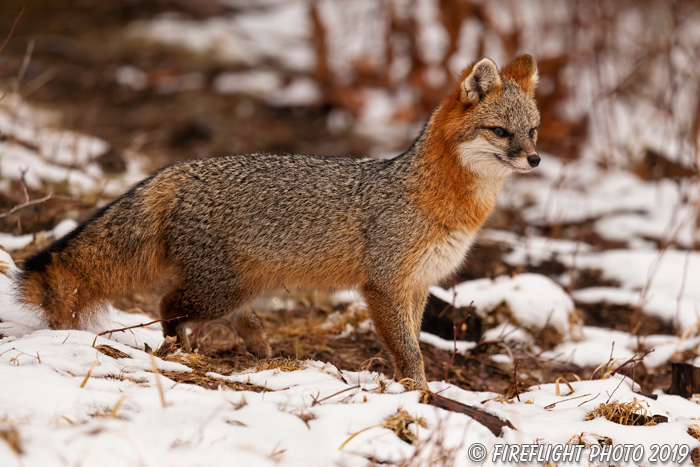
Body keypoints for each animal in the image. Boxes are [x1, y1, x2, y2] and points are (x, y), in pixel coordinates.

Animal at [16, 54, 540, 390]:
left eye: (532, 131)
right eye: (501, 132)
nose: (535, 159)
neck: (441, 199)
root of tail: (179, 169)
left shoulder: (416, 287)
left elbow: (410, 342)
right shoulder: (384, 285)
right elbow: (408, 351)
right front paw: (421, 394)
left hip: (240, 286)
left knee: (222, 314)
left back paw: (260, 348)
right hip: (218, 289)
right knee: (167, 306)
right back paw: (181, 352)